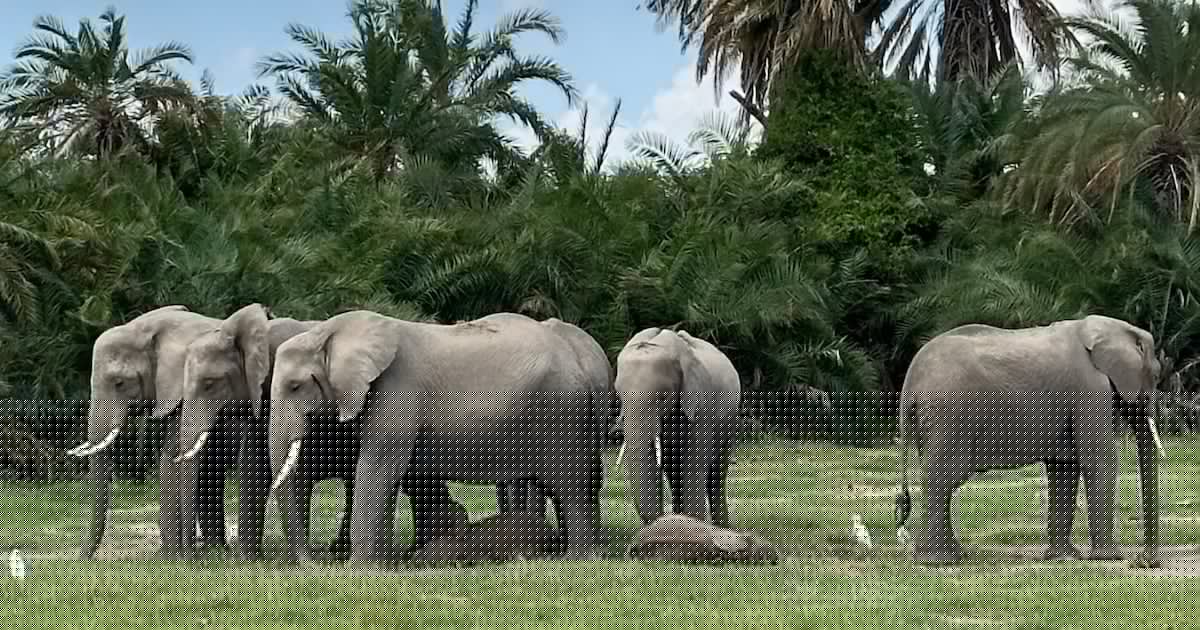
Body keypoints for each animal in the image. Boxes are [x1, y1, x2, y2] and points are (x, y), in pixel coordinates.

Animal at [614, 327, 741, 529]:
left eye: (663, 397)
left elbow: (693, 466)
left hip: (729, 422)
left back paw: (722, 528)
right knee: (675, 477)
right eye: (619, 396)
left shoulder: (701, 406)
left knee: (716, 477)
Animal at [894, 315, 1163, 567]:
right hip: (949, 413)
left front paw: (1063, 558)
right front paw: (1108, 558)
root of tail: (911, 380)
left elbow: (1064, 468)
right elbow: (1099, 460)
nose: (1145, 560)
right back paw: (940, 561)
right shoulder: (1090, 388)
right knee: (943, 476)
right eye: (1156, 374)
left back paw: (951, 555)